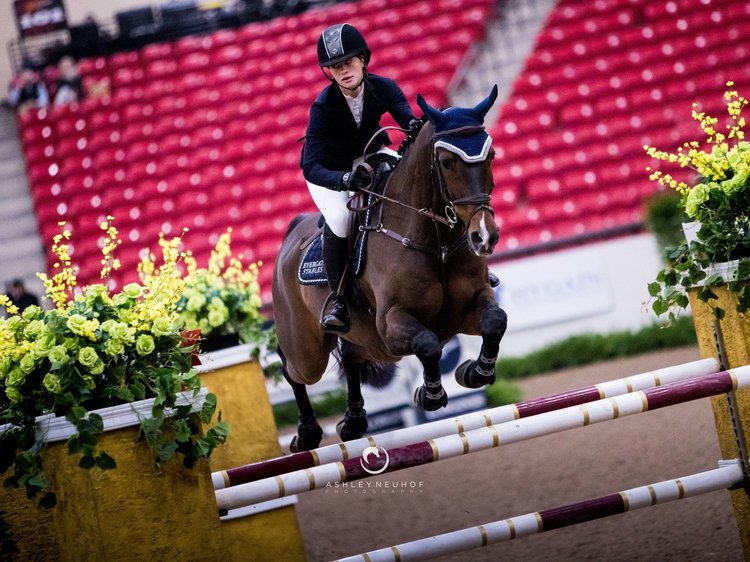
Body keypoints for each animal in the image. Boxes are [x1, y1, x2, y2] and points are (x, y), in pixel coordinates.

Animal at [274, 84, 508, 450]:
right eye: (447, 162)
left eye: (492, 155)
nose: (484, 236)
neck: (435, 241)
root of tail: (292, 233)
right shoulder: (392, 322)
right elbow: (428, 343)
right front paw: (430, 395)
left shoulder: (467, 308)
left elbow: (496, 321)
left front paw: (475, 372)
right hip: (309, 349)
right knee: (291, 368)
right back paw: (307, 432)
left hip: (369, 341)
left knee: (352, 359)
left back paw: (353, 422)